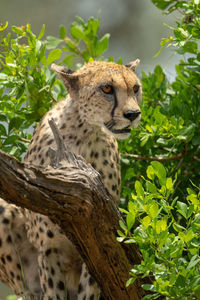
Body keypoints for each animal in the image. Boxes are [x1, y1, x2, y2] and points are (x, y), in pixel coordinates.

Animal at [0, 59, 141, 300]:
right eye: (107, 88)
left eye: (135, 88)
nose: (133, 114)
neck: (85, 134)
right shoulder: (48, 248)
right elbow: (52, 292)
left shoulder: (96, 243)